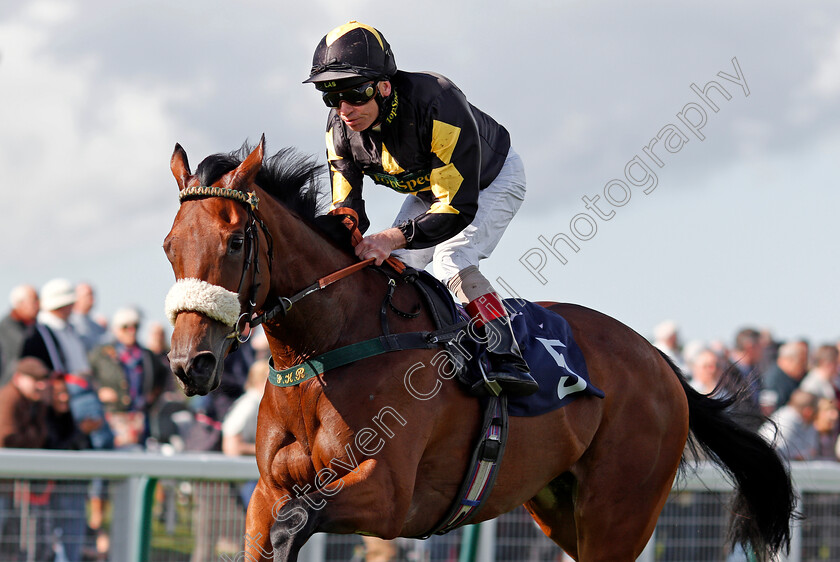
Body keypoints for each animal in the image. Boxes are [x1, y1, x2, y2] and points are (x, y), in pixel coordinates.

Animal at [162, 137, 796, 560]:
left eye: (236, 240)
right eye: (169, 245)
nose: (191, 363)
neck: (330, 347)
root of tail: (659, 362)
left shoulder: (389, 496)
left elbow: (295, 524)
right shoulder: (265, 493)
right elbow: (270, 529)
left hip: (621, 509)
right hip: (560, 506)